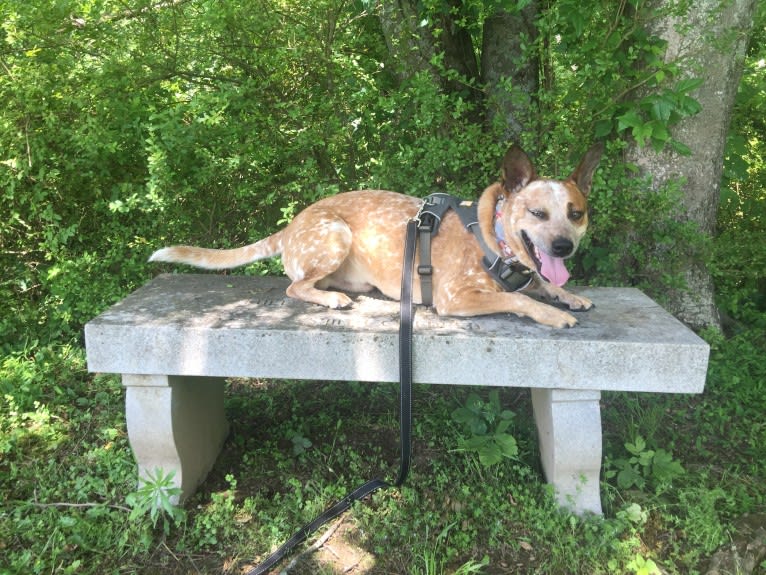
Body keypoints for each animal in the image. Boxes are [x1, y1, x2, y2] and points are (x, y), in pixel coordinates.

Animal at [152, 145, 608, 328]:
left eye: (576, 213)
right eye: (537, 213)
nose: (564, 246)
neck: (494, 239)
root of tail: (291, 225)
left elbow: (543, 284)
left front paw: (569, 295)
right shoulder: (455, 298)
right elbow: (519, 299)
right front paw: (554, 313)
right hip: (334, 234)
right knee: (295, 287)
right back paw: (331, 298)